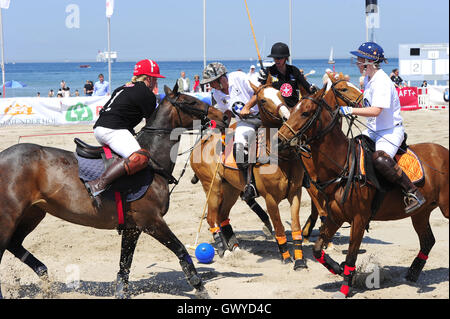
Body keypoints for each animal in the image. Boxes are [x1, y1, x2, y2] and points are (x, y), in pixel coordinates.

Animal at [0, 85, 227, 300]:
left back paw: (44, 274)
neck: (153, 164)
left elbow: (124, 264)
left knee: (14, 244)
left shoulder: (132, 227)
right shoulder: (151, 221)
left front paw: (121, 292)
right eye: (191, 102)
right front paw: (200, 288)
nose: (224, 116)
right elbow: (181, 251)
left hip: (34, 213)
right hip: (9, 216)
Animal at [190, 77, 310, 270]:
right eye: (262, 100)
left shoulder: (295, 193)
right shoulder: (270, 199)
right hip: (212, 187)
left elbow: (296, 227)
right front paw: (285, 257)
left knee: (222, 216)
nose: (286, 115)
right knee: (211, 218)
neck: (281, 155)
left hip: (230, 189)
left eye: (279, 94)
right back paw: (224, 251)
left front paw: (299, 261)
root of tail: (199, 144)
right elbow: (279, 228)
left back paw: (235, 247)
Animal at [280, 74, 448, 298]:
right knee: (428, 240)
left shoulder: (359, 219)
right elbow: (317, 250)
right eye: (292, 111)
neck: (342, 165)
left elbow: (351, 256)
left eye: (306, 112)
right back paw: (412, 273)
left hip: (445, 207)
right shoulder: (335, 216)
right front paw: (338, 268)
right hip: (420, 212)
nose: (280, 139)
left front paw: (344, 287)